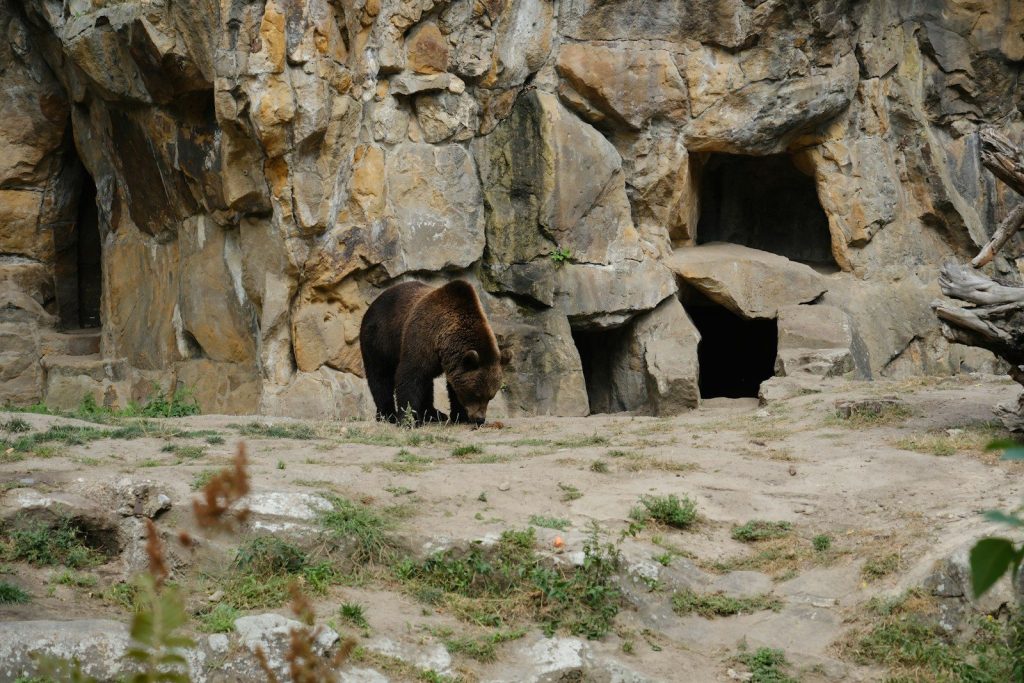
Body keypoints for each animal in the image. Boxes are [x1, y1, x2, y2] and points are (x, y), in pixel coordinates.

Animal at [359, 280, 510, 426]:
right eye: (476, 394)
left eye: (490, 396)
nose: (480, 419)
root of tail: (374, 303)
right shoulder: (421, 337)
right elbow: (409, 376)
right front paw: (409, 420)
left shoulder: (451, 360)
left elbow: (451, 385)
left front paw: (460, 416)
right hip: (379, 339)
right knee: (380, 376)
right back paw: (387, 415)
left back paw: (434, 414)